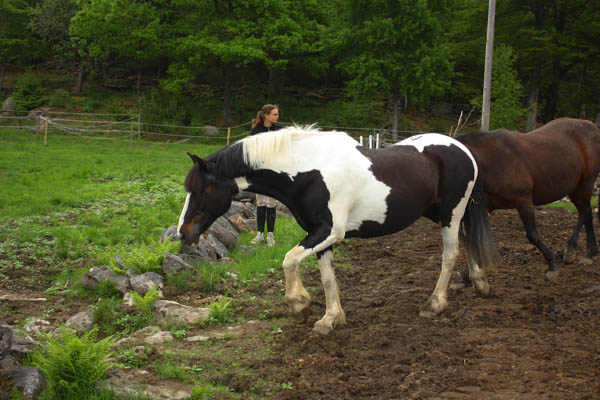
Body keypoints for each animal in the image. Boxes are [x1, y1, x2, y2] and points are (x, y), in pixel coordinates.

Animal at [178, 126, 498, 335]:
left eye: (202, 189)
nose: (183, 233)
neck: (307, 171)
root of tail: (463, 149)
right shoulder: (320, 234)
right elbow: (327, 277)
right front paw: (330, 319)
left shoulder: (331, 231)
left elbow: (289, 260)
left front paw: (300, 305)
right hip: (442, 214)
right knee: (468, 241)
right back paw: (480, 284)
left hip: (450, 213)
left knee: (450, 254)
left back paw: (435, 304)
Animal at [456, 117, 600, 281]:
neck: (490, 161)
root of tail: (592, 126)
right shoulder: (483, 206)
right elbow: (474, 241)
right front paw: (468, 276)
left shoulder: (523, 201)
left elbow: (532, 235)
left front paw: (551, 263)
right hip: (575, 188)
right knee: (586, 212)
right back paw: (590, 251)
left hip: (584, 184)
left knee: (584, 212)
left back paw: (573, 249)